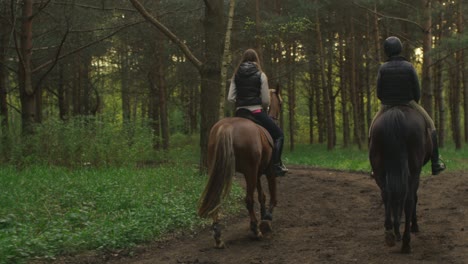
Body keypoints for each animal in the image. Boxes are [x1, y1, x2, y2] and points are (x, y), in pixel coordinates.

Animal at [196, 88, 280, 248]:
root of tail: (227, 127)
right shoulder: (268, 170)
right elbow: (272, 194)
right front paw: (267, 217)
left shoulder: (257, 172)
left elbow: (261, 195)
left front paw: (264, 215)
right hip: (249, 171)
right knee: (248, 200)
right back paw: (255, 230)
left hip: (220, 170)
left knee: (216, 197)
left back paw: (218, 236)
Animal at [370, 105, 432, 254]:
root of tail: (395, 114)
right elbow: (413, 198)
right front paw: (414, 226)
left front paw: (395, 229)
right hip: (414, 170)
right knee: (408, 200)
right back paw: (406, 242)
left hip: (379, 169)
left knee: (388, 195)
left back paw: (390, 233)